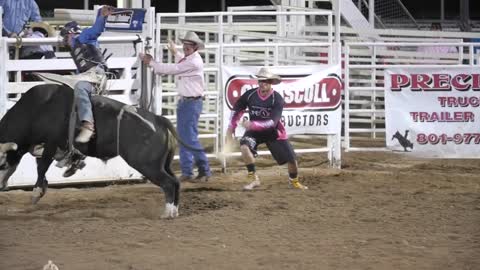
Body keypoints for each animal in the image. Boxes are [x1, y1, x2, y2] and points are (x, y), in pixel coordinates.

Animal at [0, 85, 187, 218]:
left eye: (1, 163)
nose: (1, 186)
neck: (38, 109)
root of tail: (159, 120)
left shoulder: (51, 142)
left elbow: (42, 166)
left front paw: (37, 192)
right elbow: (40, 164)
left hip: (147, 165)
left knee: (169, 183)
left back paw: (167, 213)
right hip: (163, 164)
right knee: (175, 182)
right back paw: (174, 211)